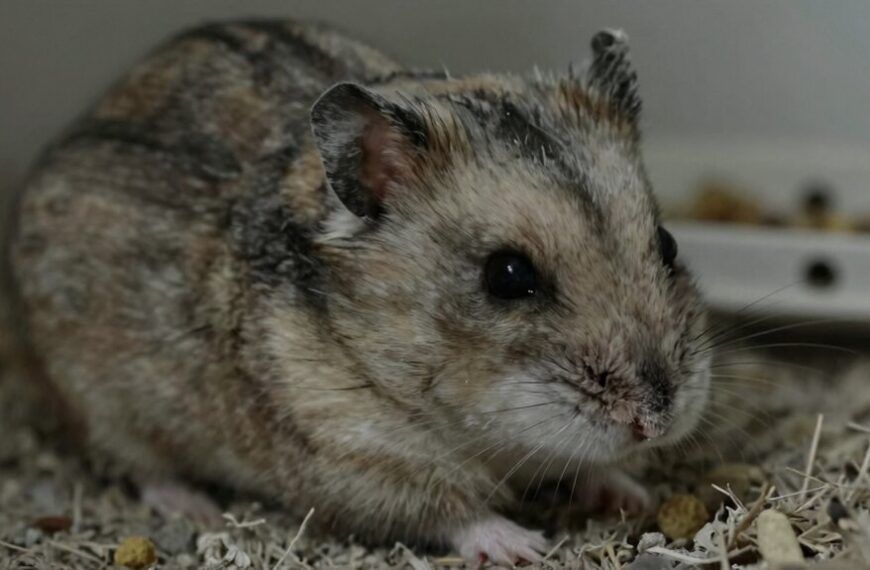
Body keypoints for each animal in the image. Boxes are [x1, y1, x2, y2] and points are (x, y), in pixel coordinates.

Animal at [9, 20, 711, 565]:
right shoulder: (355, 456)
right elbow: (450, 509)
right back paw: (195, 507)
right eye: (508, 276)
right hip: (98, 401)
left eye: (668, 243)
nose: (655, 422)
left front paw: (634, 494)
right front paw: (525, 547)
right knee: (138, 465)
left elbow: (591, 465)